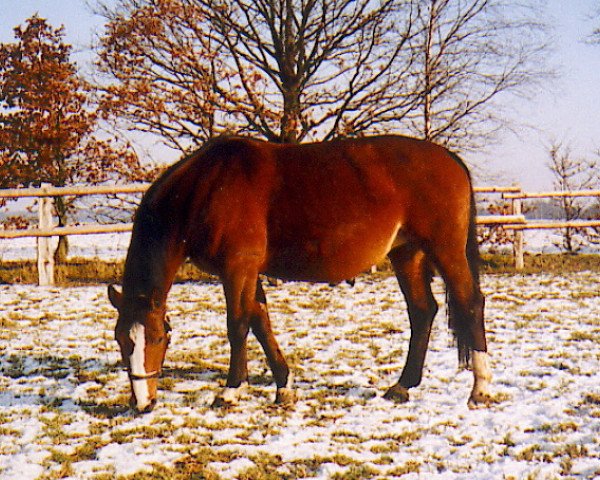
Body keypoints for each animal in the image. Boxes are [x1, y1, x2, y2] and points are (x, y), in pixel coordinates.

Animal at [108, 134, 492, 412]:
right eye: (121, 341)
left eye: (158, 339)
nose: (142, 403)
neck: (207, 187)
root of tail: (450, 159)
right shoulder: (250, 272)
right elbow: (260, 323)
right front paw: (284, 386)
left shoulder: (237, 268)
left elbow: (238, 325)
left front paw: (231, 391)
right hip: (407, 254)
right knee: (422, 311)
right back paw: (402, 386)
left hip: (445, 250)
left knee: (470, 303)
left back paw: (480, 389)